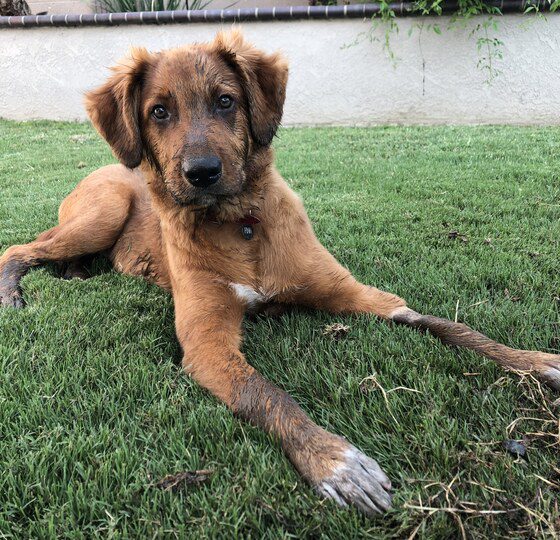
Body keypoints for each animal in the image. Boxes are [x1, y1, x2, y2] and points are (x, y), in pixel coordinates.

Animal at [1, 28, 560, 516]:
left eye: (226, 101)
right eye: (158, 111)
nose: (202, 173)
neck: (240, 225)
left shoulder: (356, 292)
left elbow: (448, 326)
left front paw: (535, 361)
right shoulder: (207, 344)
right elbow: (267, 395)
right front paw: (336, 462)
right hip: (105, 209)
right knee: (18, 248)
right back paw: (14, 294)